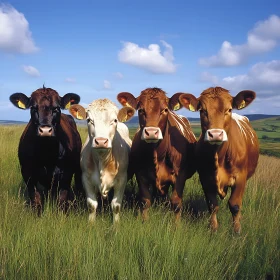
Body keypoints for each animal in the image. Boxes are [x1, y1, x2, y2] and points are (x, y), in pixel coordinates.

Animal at [9, 86, 83, 215]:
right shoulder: (27, 172)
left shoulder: (67, 172)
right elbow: (36, 198)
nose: (45, 130)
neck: (47, 153)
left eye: (56, 108)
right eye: (33, 108)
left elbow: (62, 199)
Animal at [117, 87, 196, 221]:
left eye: (165, 110)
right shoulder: (141, 174)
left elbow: (176, 203)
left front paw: (177, 225)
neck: (158, 155)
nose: (151, 132)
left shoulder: (180, 176)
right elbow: (145, 201)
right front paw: (144, 221)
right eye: (141, 110)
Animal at [178, 86, 260, 233]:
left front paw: (237, 230)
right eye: (203, 110)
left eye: (229, 109)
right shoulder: (205, 177)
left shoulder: (240, 178)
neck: (219, 156)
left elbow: (235, 205)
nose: (215, 134)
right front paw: (214, 229)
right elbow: (212, 205)